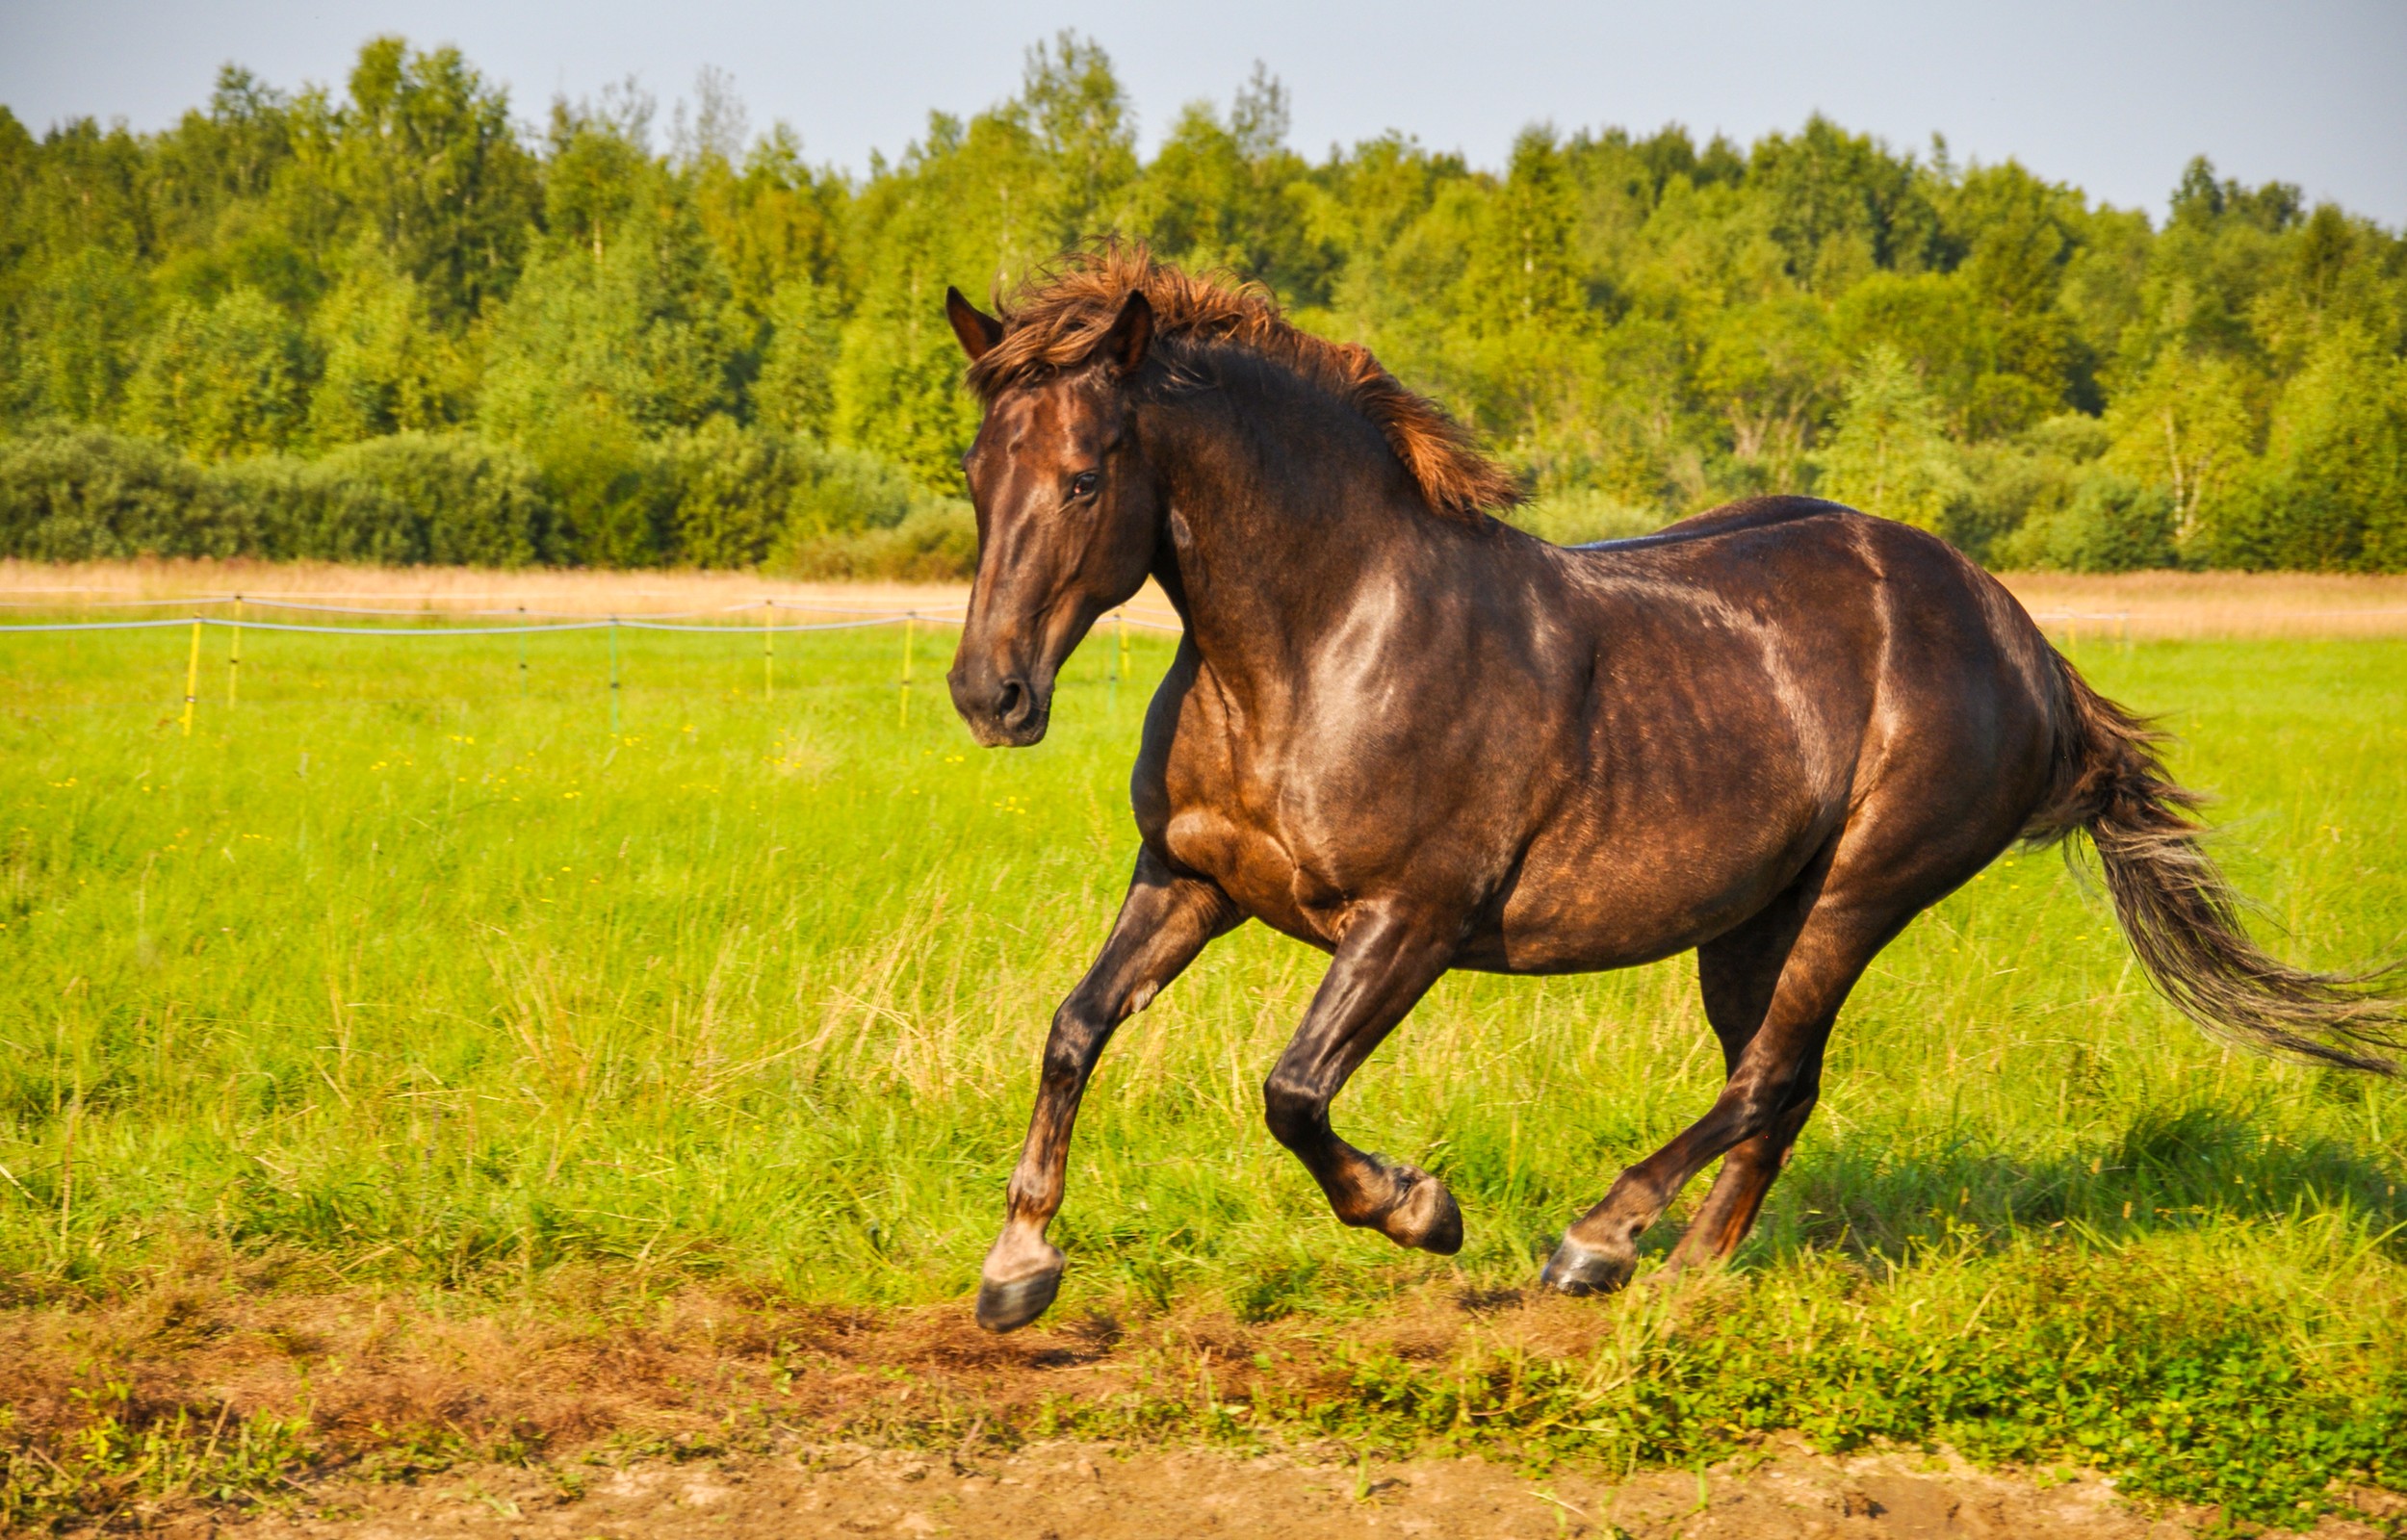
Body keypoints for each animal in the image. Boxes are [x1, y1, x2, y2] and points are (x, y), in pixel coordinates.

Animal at [929, 246, 2397, 1328]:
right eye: (978, 472)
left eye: (1085, 478)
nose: (990, 695)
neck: (1319, 641)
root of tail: (2024, 643)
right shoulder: (1187, 878)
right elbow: (1074, 1028)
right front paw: (1017, 1268)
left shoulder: (1410, 921)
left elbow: (1292, 1091)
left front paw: (1423, 1210)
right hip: (1753, 923)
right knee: (1778, 1086)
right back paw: (1684, 1279)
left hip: (1857, 896)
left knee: (1770, 1078)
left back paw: (1597, 1245)